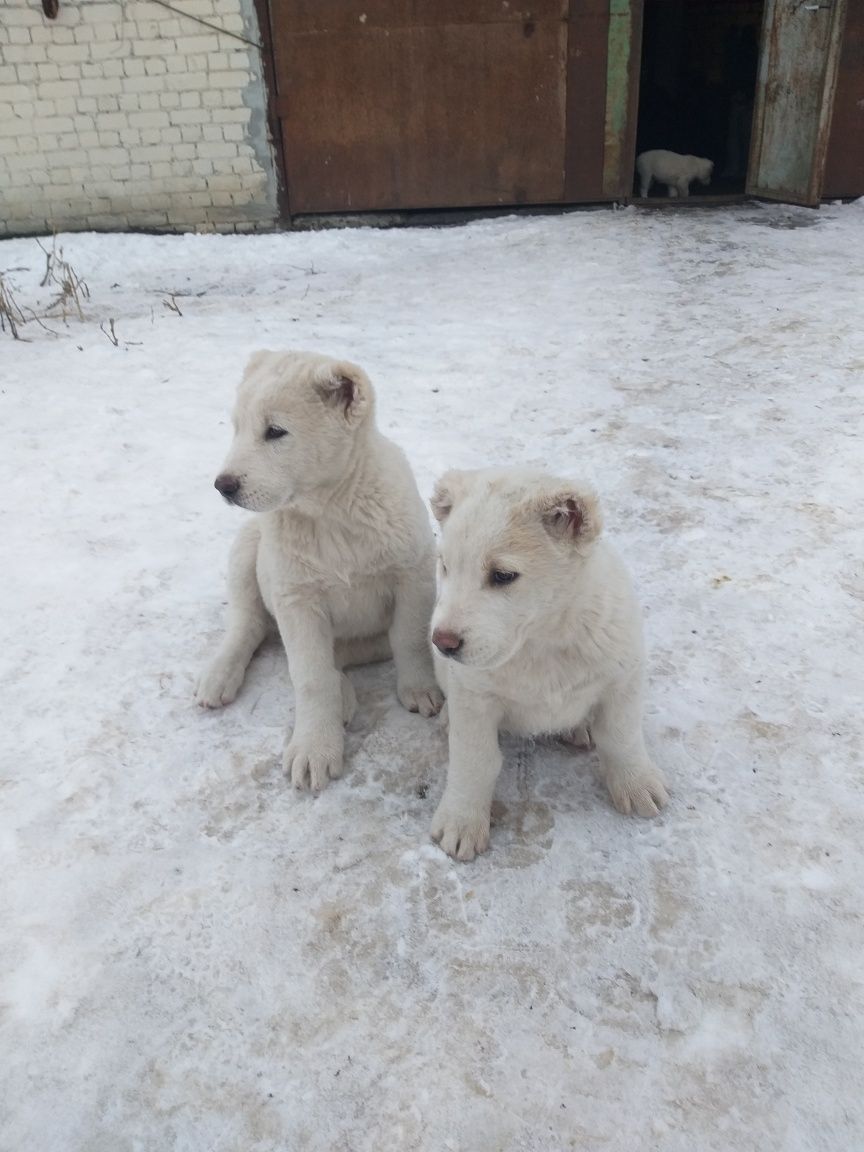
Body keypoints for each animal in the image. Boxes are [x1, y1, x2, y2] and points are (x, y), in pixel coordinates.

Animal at [199, 350, 442, 792]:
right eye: (237, 428)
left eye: (275, 432)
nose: (223, 485)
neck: (330, 509)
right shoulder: (296, 598)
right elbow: (310, 677)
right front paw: (314, 748)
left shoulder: (412, 572)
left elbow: (410, 639)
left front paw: (420, 689)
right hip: (248, 548)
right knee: (248, 625)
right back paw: (220, 676)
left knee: (344, 654)